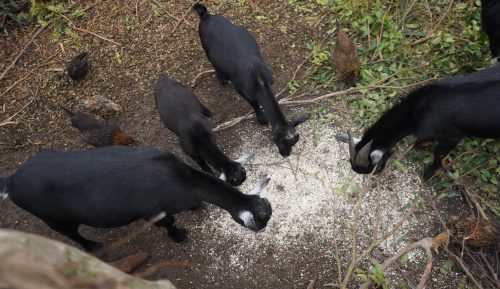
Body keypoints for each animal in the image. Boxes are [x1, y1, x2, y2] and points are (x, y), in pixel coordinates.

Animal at [0, 146, 274, 250]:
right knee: (72, 235)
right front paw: (179, 236)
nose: (262, 231)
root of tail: (11, 181)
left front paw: (196, 207)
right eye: (259, 222)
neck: (181, 179)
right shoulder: (154, 212)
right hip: (54, 218)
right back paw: (92, 246)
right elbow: (169, 223)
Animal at [193, 2, 310, 155]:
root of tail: (206, 16)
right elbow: (253, 103)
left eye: (293, 142)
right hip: (205, 46)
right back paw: (222, 80)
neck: (259, 81)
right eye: (280, 142)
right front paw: (261, 118)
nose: (285, 155)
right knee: (214, 63)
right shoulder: (242, 89)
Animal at [334, 66, 500, 180]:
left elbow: (439, 153)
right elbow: (421, 142)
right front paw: (424, 144)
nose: (375, 176)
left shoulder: (451, 136)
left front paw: (430, 173)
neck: (417, 109)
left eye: (377, 167)